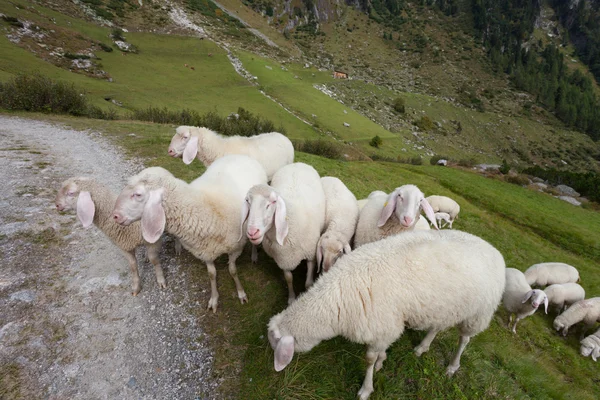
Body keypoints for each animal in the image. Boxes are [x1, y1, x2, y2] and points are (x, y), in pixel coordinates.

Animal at [112, 156, 268, 312]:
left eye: (137, 194)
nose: (115, 216)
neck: (205, 209)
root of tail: (239, 155)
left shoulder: (235, 248)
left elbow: (233, 270)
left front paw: (241, 293)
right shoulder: (205, 251)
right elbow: (212, 274)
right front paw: (214, 299)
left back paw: (254, 255)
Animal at [241, 162, 326, 304]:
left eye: (273, 202)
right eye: (248, 201)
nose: (252, 232)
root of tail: (298, 163)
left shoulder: (311, 255)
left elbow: (308, 283)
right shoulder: (284, 260)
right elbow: (289, 279)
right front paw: (291, 298)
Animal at [268, 230, 506, 398]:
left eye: (274, 344)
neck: (335, 296)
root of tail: (496, 252)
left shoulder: (381, 325)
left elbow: (369, 359)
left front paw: (366, 388)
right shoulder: (387, 326)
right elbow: (380, 352)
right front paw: (383, 361)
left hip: (478, 313)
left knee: (464, 340)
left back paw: (452, 366)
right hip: (445, 306)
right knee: (436, 326)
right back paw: (422, 347)